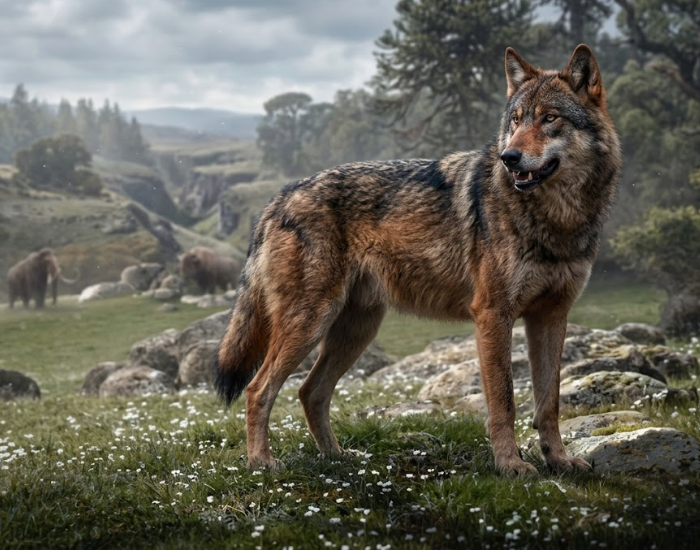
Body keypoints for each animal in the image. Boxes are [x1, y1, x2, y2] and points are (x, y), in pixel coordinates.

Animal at [214, 44, 621, 475]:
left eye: (549, 118)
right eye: (516, 120)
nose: (509, 157)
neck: (556, 218)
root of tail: (280, 197)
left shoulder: (552, 316)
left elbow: (549, 402)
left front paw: (558, 460)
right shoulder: (493, 314)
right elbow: (505, 402)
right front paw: (510, 464)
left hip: (355, 330)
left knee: (310, 392)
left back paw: (336, 456)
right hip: (309, 324)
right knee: (258, 389)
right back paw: (261, 462)